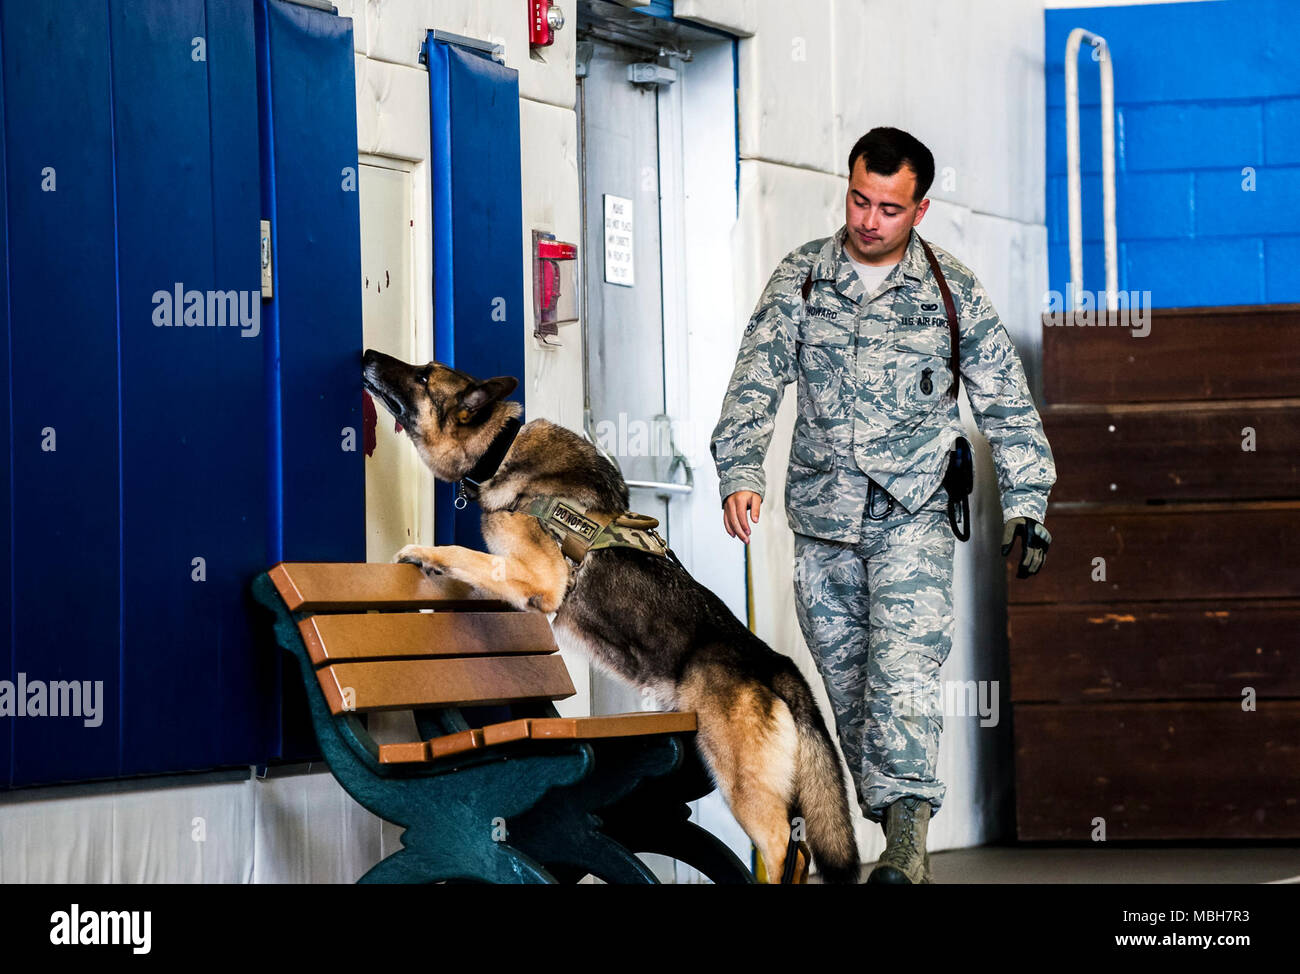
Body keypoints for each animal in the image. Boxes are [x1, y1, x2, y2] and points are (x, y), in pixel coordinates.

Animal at [361, 348, 857, 879]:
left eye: (423, 377)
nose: (368, 355)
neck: (501, 448)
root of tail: (775, 666)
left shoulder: (538, 579)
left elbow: (462, 553)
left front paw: (422, 553)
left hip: (745, 788)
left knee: (787, 851)